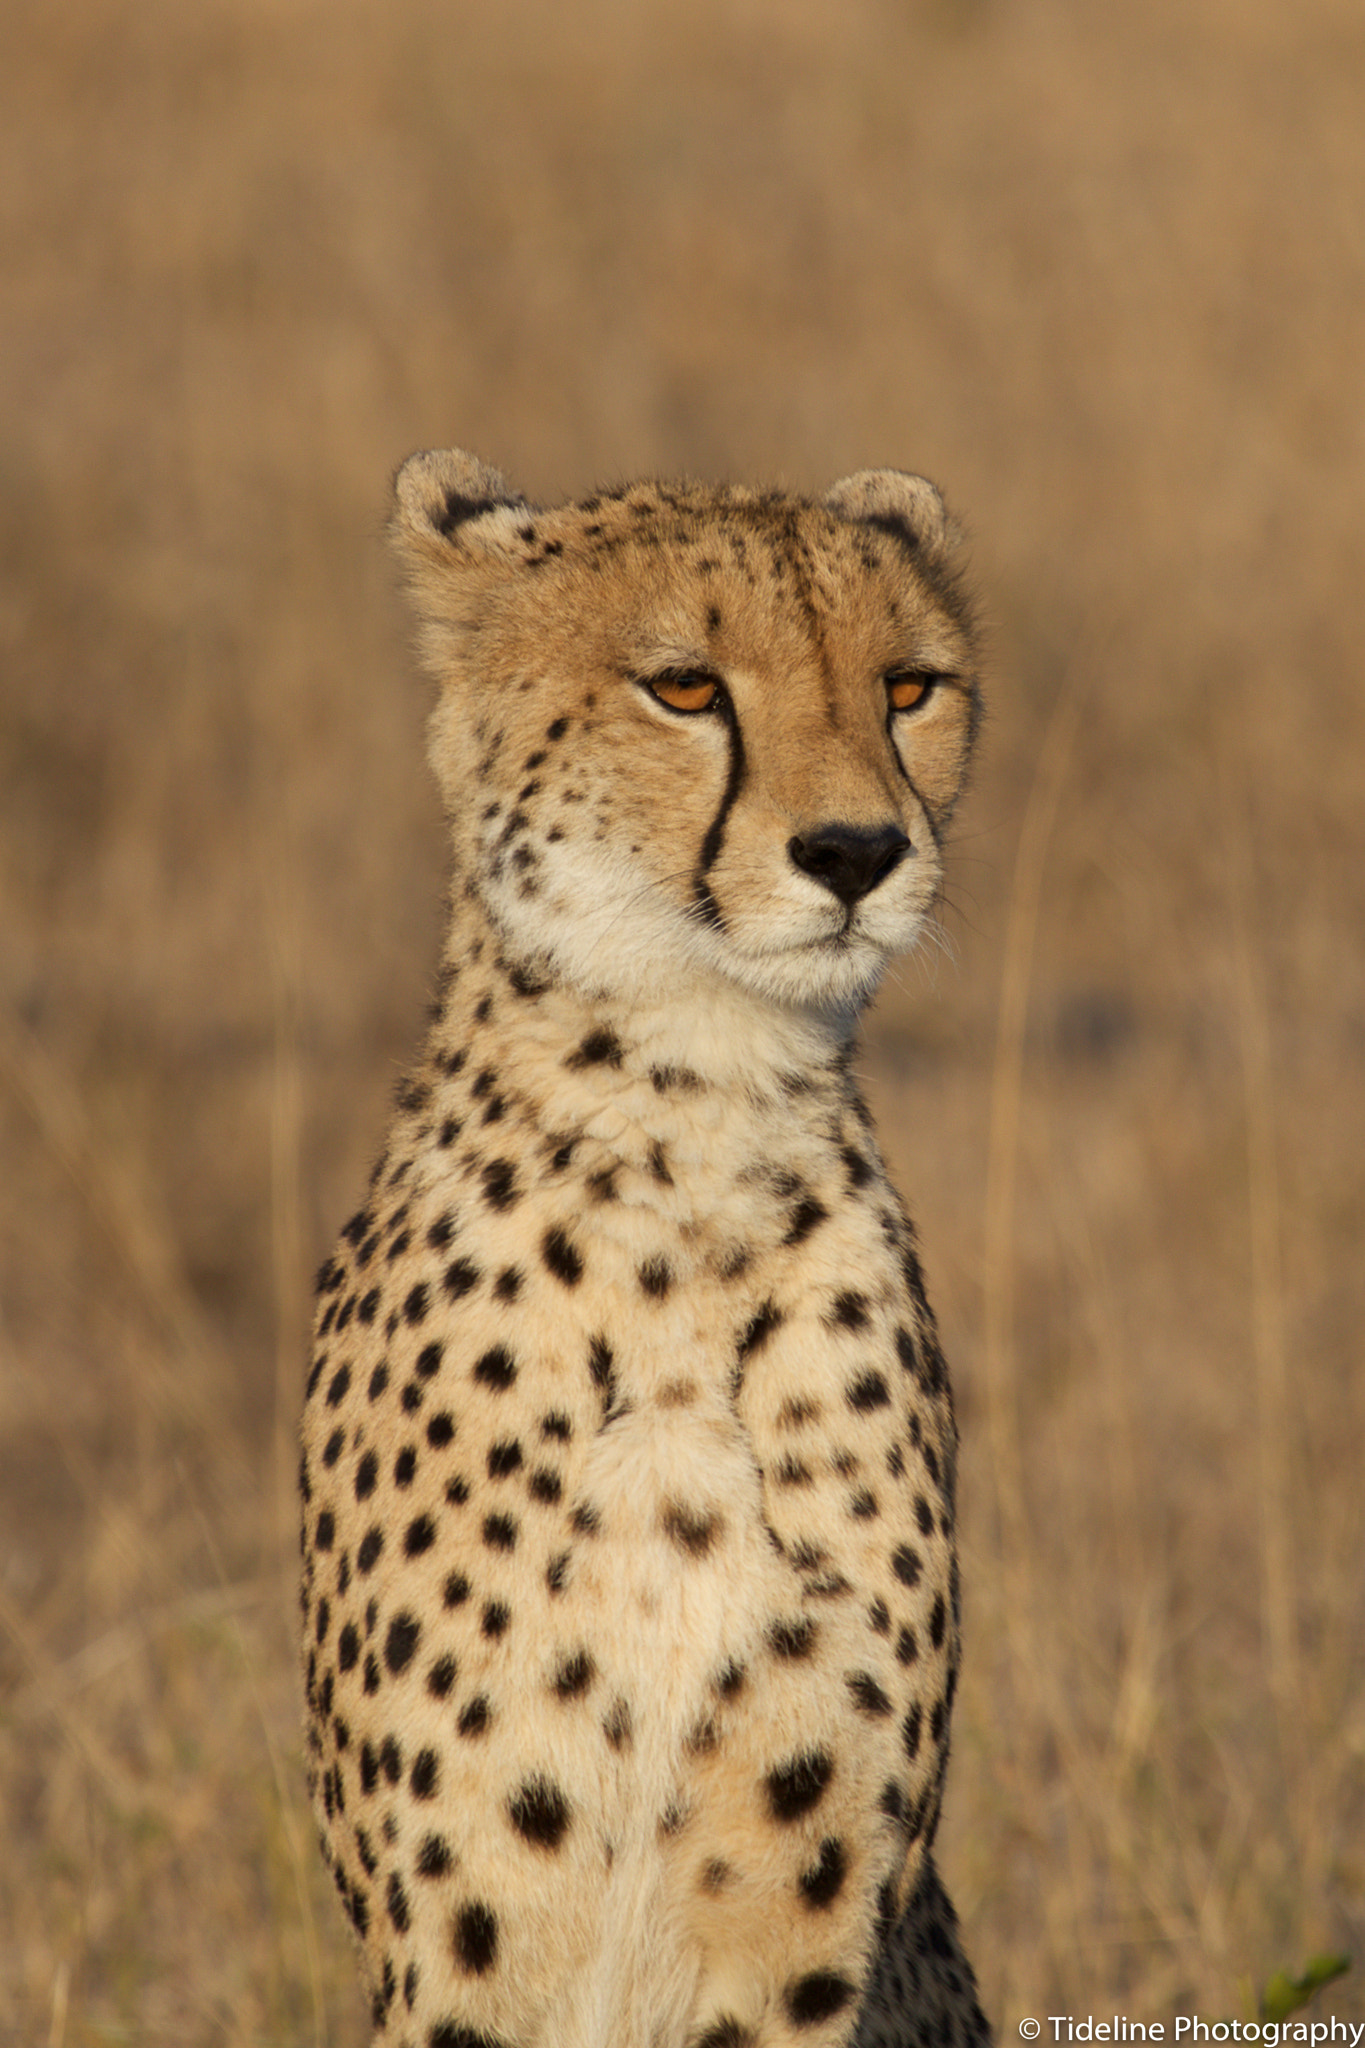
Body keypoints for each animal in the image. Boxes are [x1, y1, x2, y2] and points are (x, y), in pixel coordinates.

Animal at [299, 447, 992, 2048]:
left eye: (909, 687)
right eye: (685, 688)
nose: (857, 851)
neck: (694, 1130)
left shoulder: (804, 1926)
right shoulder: (462, 1936)